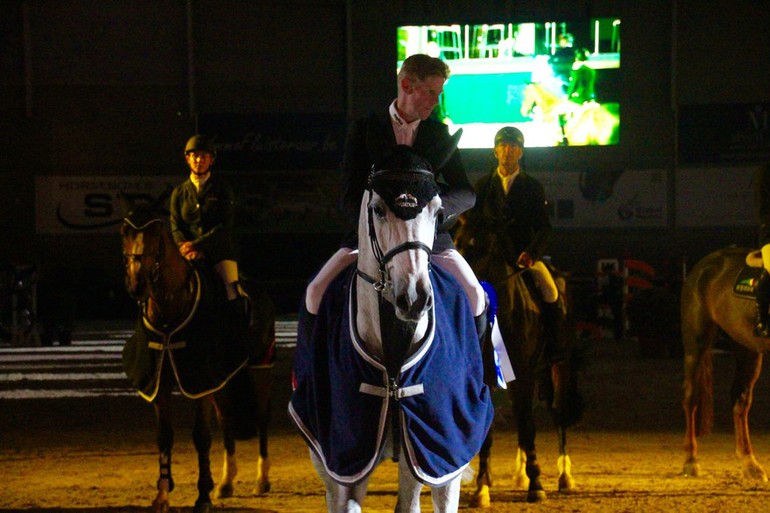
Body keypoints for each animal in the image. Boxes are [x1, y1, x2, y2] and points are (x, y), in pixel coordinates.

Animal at [118, 199, 274, 512]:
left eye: (156, 233)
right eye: (124, 232)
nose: (136, 284)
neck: (169, 308)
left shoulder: (200, 381)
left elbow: (201, 437)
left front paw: (202, 497)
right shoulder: (162, 381)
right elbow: (164, 437)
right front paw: (162, 494)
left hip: (259, 366)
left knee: (262, 417)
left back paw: (261, 479)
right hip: (223, 380)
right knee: (227, 419)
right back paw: (226, 482)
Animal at [450, 221, 584, 504]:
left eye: (481, 249)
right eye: (457, 243)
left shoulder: (524, 373)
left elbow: (528, 427)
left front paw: (536, 485)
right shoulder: (488, 377)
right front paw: (482, 488)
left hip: (559, 366)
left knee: (557, 413)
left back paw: (564, 477)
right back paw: (517, 474)